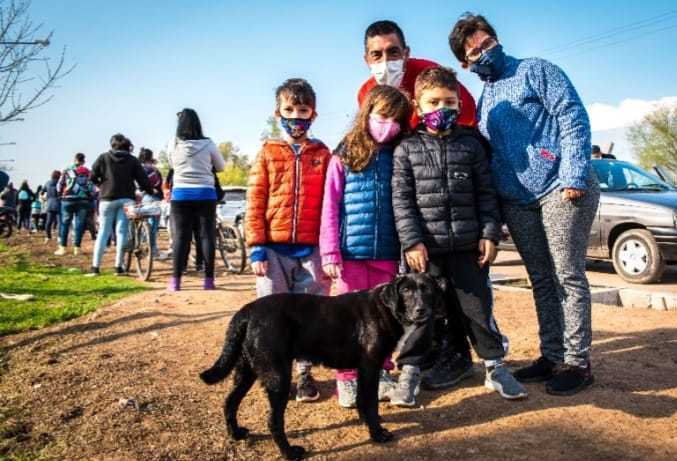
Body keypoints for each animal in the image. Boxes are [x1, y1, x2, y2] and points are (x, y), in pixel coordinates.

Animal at [201, 274, 444, 456]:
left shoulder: (362, 369)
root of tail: (248, 310)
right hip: (278, 376)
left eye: (428, 290)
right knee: (273, 420)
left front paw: (364, 422)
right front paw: (377, 433)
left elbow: (361, 400)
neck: (384, 307)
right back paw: (290, 453)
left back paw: (236, 433)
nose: (421, 310)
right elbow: (370, 402)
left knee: (229, 402)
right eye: (407, 291)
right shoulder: (370, 366)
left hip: (246, 371)